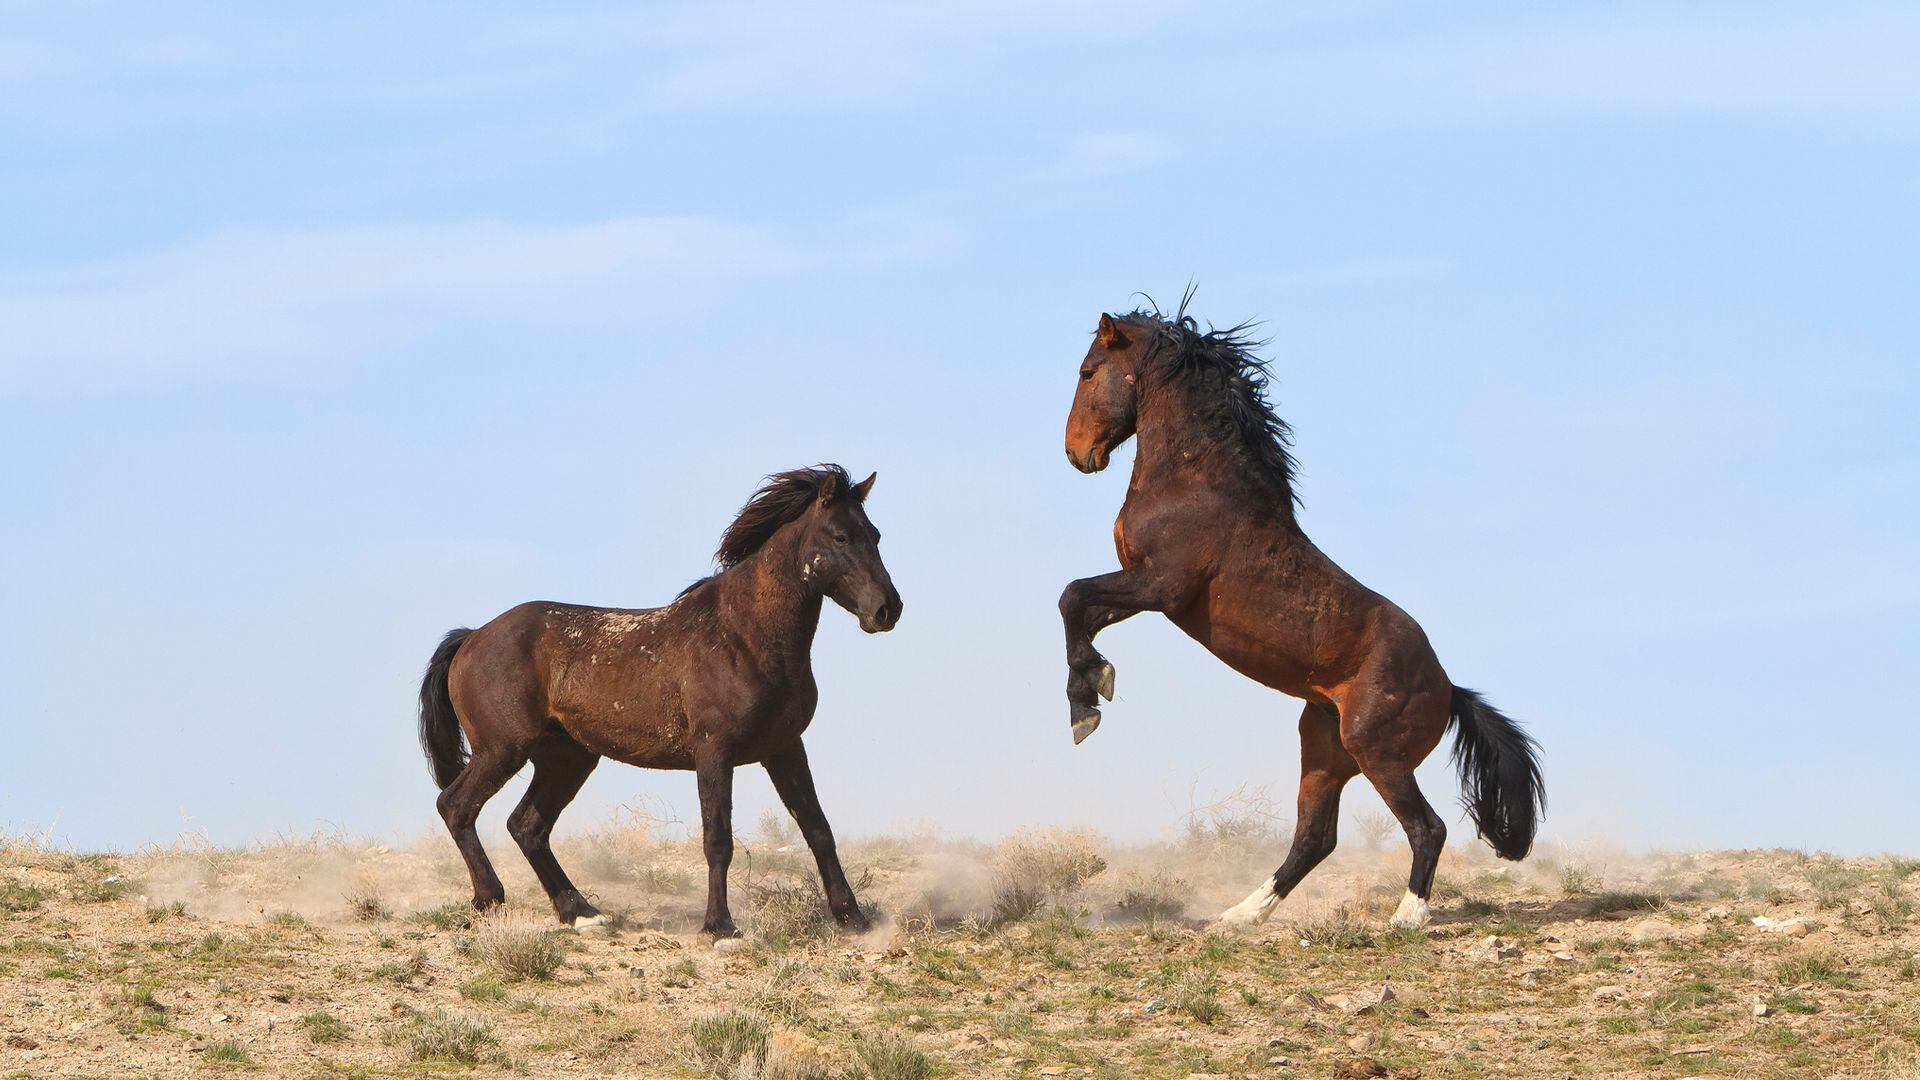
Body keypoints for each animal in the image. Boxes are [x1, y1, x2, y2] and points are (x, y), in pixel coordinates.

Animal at [420, 463, 898, 933]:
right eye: (840, 536)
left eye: (875, 534)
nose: (887, 609)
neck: (743, 635)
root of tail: (471, 638)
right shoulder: (714, 751)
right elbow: (717, 839)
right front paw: (719, 925)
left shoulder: (784, 747)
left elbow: (818, 828)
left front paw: (852, 917)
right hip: (502, 750)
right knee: (456, 807)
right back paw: (490, 897)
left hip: (567, 759)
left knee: (526, 826)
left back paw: (580, 911)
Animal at [1059, 297, 1536, 930]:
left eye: (1088, 372)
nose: (1076, 452)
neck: (1197, 482)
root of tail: (1448, 688)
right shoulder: (1146, 593)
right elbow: (1081, 612)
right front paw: (1093, 690)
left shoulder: (1160, 587)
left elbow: (1071, 596)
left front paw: (1087, 706)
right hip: (1324, 749)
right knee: (1315, 837)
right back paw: (1241, 915)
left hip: (1376, 750)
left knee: (1425, 827)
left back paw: (1406, 917)